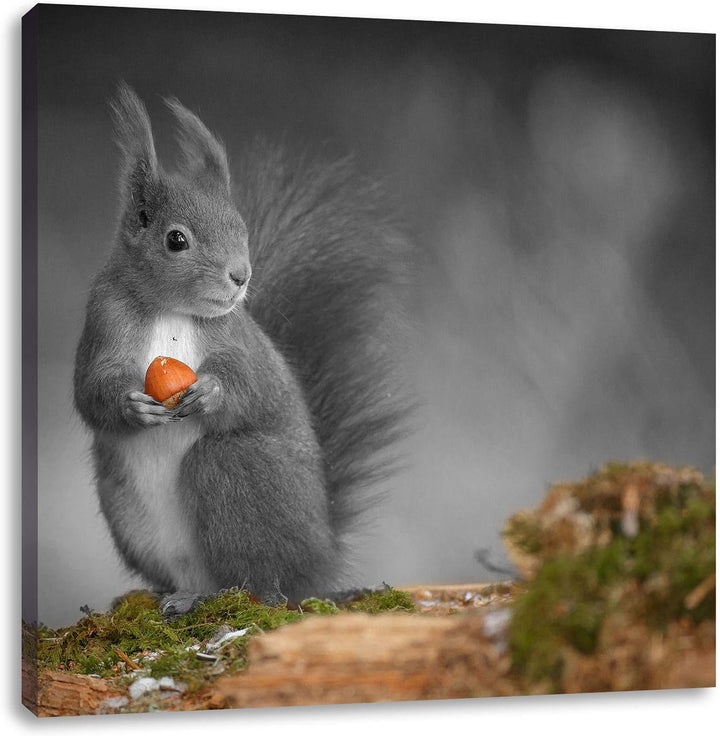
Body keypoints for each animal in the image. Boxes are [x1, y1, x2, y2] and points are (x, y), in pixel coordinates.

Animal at [73, 83, 412, 614]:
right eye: (175, 240)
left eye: (241, 227)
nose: (241, 276)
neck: (170, 310)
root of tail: (321, 561)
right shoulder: (103, 321)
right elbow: (90, 390)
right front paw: (131, 406)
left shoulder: (237, 339)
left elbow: (248, 384)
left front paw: (212, 392)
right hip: (126, 509)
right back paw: (173, 596)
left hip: (238, 470)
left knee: (256, 571)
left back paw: (255, 594)